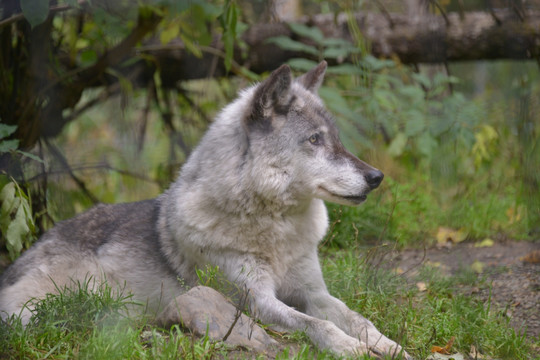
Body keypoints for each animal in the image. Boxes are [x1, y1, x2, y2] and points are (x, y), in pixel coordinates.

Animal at [0, 62, 410, 358]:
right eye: (314, 140)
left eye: (336, 140)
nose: (376, 177)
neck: (274, 230)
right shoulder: (256, 301)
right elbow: (317, 325)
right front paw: (351, 348)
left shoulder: (313, 292)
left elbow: (358, 318)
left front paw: (390, 346)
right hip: (51, 304)